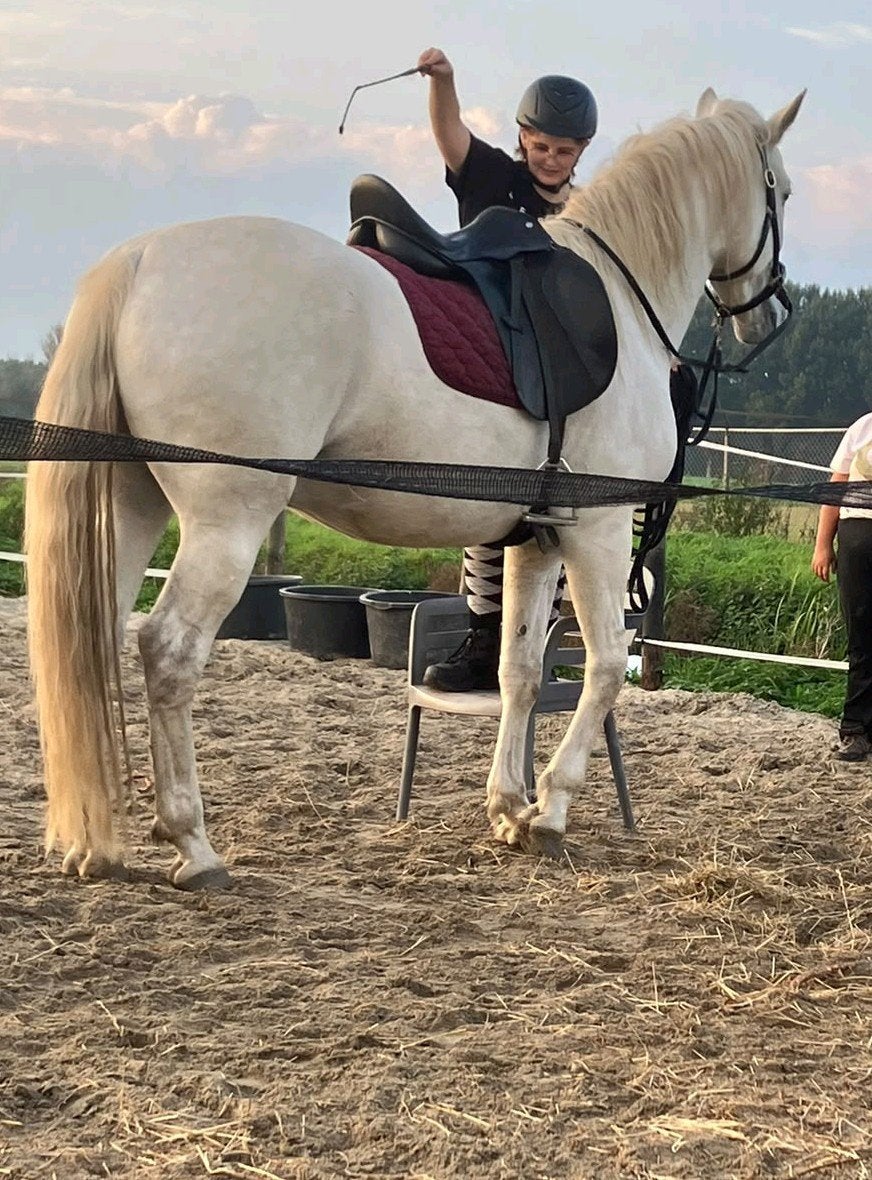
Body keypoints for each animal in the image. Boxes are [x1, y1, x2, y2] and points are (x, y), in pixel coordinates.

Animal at [25, 87, 804, 889]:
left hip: (130, 507)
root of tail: (140, 260)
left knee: (97, 635)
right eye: (782, 189)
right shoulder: (600, 528)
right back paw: (193, 844)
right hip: (226, 523)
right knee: (169, 651)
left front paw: (509, 808)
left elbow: (521, 672)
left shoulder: (537, 539)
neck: (621, 296)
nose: (771, 312)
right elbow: (608, 665)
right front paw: (551, 811)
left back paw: (97, 843)